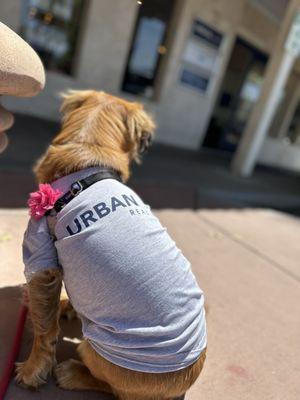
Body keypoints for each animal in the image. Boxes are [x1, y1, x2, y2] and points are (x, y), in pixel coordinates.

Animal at [14, 91, 206, 400]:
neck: (87, 159)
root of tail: (182, 385)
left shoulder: (41, 258)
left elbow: (44, 328)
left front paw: (32, 371)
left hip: (92, 349)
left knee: (113, 389)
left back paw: (73, 374)